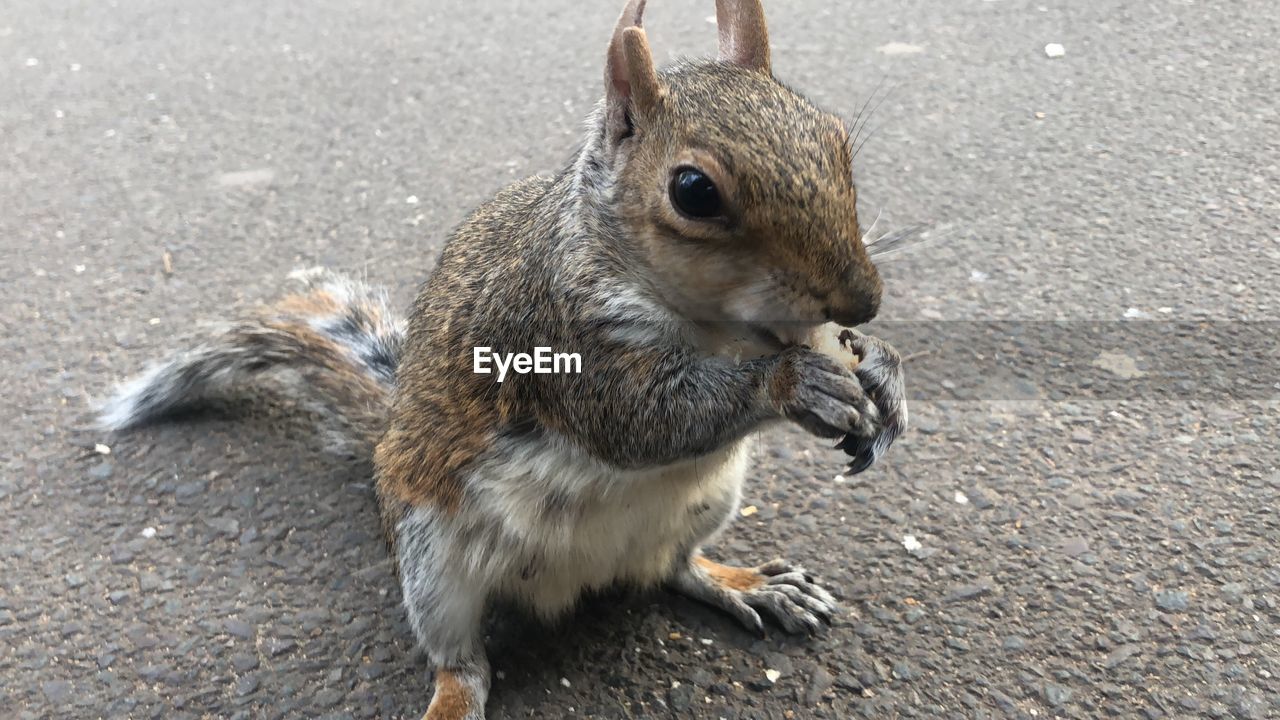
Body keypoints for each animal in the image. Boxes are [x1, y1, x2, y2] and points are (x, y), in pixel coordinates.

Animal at [99, 2, 911, 712]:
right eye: (693, 191)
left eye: (834, 136)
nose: (862, 300)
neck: (713, 327)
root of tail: (577, 578)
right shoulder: (550, 336)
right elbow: (642, 422)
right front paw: (796, 382)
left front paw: (882, 369)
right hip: (431, 561)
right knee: (462, 663)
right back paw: (452, 698)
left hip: (707, 500)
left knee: (675, 568)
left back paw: (742, 581)